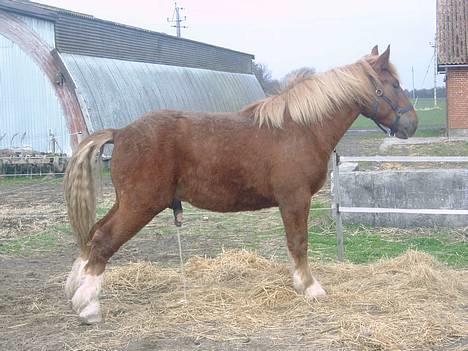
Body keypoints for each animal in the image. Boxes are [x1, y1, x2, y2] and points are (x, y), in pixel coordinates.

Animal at [63, 46, 416, 324]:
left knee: (93, 234)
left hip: (126, 202)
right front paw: (310, 287)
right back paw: (89, 308)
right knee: (103, 241)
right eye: (395, 84)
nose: (412, 124)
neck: (300, 128)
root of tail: (120, 132)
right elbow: (299, 244)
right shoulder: (295, 200)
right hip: (139, 204)